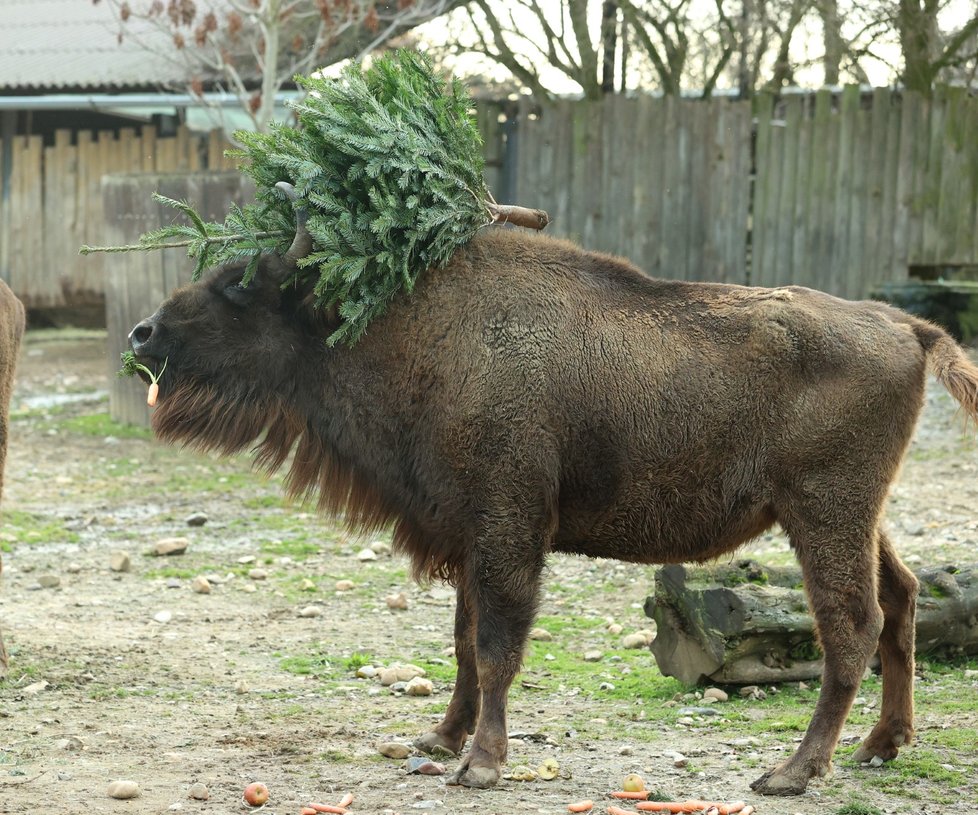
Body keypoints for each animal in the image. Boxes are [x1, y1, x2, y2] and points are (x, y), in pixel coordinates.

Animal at [127, 217, 976, 796]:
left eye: (240, 283)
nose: (142, 332)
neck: (419, 330)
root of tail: (907, 324)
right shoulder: (471, 535)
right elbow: (464, 644)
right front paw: (441, 739)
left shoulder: (508, 529)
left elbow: (497, 644)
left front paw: (480, 763)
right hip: (859, 518)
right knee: (902, 598)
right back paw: (881, 744)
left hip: (824, 515)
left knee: (852, 625)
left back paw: (793, 771)